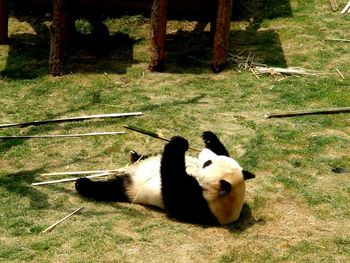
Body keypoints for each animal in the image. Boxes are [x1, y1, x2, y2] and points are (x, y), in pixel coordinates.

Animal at [75, 131, 254, 225]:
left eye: (207, 163)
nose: (203, 152)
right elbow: (224, 152)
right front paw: (209, 137)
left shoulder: (197, 204)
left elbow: (172, 182)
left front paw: (179, 142)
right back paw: (135, 155)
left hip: (131, 188)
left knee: (108, 189)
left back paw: (82, 184)